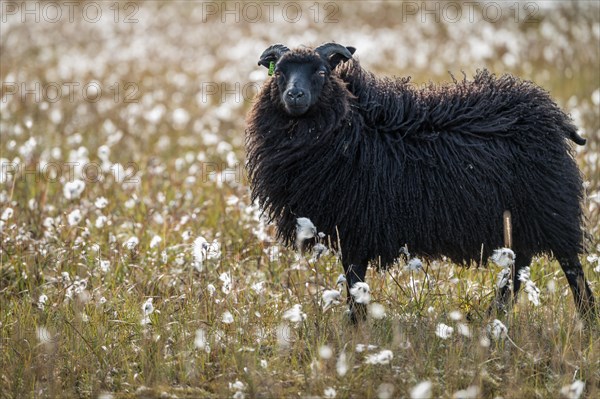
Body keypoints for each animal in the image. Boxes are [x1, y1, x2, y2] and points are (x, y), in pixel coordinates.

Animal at [244, 43, 596, 324]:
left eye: (320, 72)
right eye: (279, 73)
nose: (295, 95)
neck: (352, 127)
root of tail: (555, 117)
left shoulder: (356, 228)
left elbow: (354, 283)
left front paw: (355, 328)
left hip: (549, 206)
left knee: (571, 266)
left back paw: (587, 320)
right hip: (521, 217)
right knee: (519, 266)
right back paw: (495, 315)